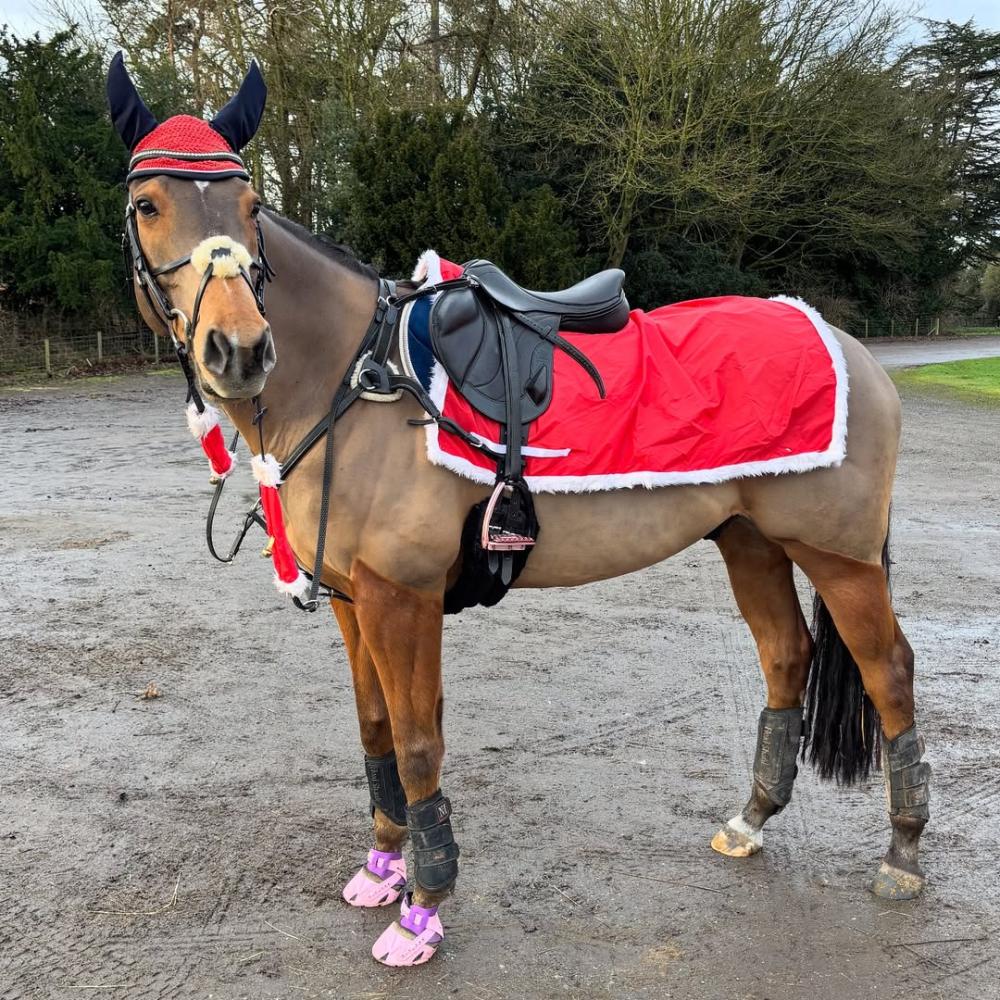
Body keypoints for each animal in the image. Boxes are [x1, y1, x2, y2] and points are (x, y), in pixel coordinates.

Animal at [108, 55, 930, 967]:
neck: (357, 380)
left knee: (890, 672)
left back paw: (901, 853)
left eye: (250, 207)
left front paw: (424, 906)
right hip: (749, 541)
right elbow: (375, 729)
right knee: (787, 658)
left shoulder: (402, 597)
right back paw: (751, 821)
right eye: (149, 205)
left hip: (837, 556)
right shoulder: (356, 601)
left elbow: (418, 743)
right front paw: (383, 867)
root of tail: (848, 346)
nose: (240, 350)